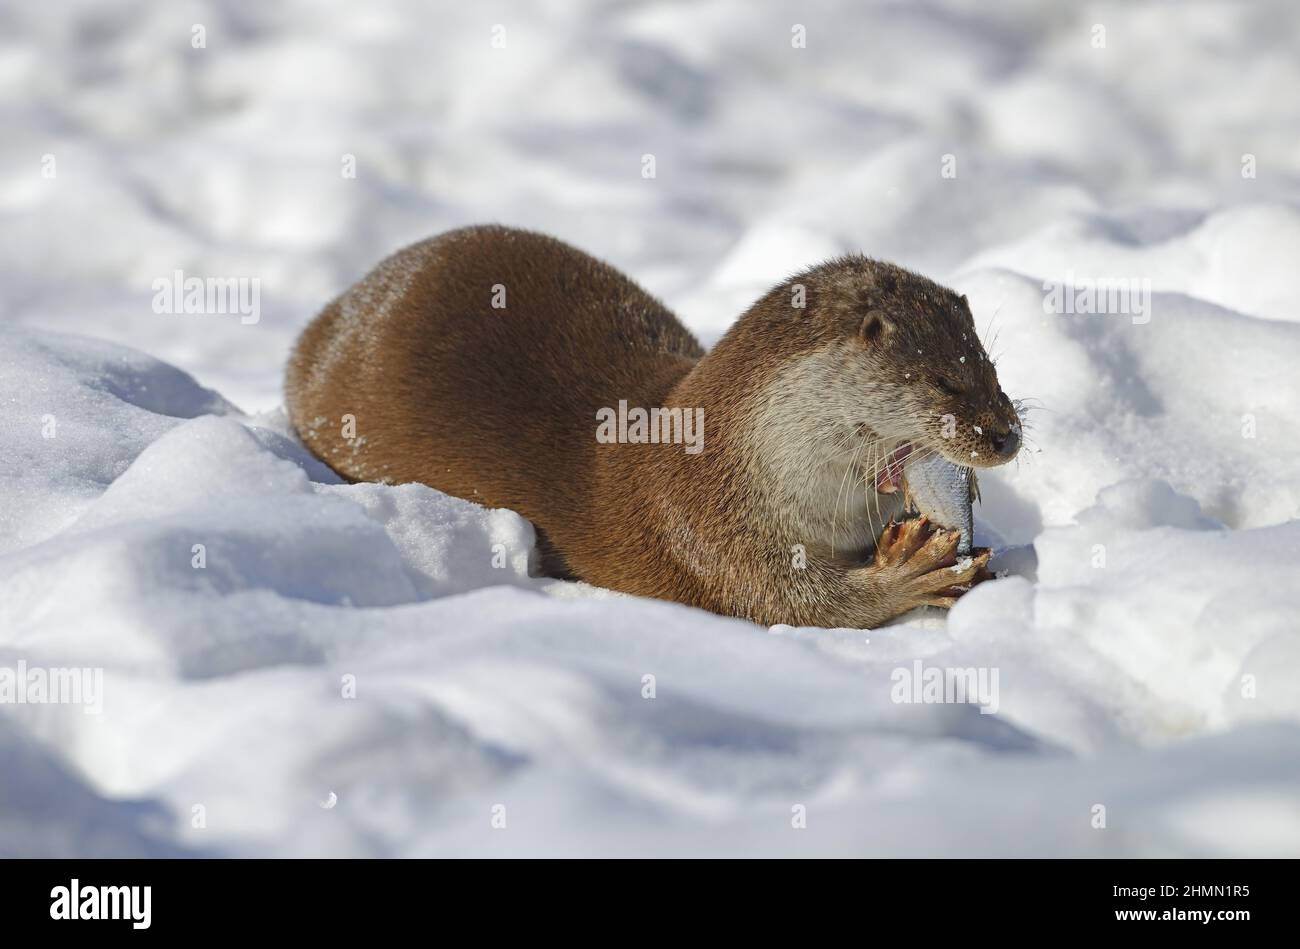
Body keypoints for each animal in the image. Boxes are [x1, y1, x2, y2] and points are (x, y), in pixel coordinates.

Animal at [287, 222, 1024, 629]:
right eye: (947, 382)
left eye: (992, 368)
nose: (1006, 434)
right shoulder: (705, 527)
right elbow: (794, 605)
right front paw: (914, 570)